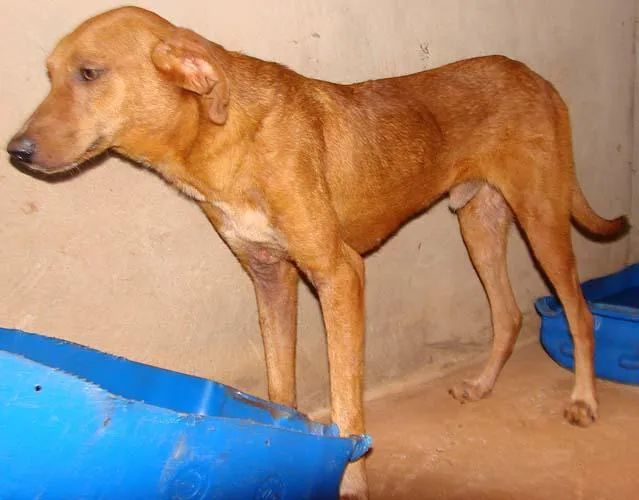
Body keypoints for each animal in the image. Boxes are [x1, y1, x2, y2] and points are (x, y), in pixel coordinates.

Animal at [6, 5, 632, 498]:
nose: (17, 151)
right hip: (479, 224)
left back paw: (584, 400)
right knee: (506, 314)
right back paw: (482, 386)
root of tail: (536, 76)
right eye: (49, 76)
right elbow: (279, 389)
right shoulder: (270, 277)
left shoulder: (339, 274)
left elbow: (348, 404)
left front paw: (350, 481)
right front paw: (278, 448)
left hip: (542, 218)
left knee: (578, 312)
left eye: (90, 73)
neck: (224, 136)